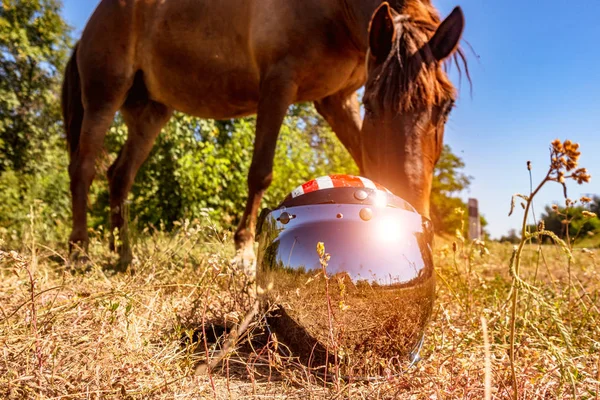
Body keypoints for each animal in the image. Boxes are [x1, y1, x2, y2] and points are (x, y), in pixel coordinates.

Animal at [59, 0, 464, 270]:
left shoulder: (336, 100)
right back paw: (80, 251)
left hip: (149, 113)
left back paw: (123, 254)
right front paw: (243, 251)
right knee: (83, 168)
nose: (418, 224)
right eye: (372, 103)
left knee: (119, 176)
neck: (333, 10)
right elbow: (260, 172)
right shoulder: (279, 83)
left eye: (447, 106)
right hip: (105, 94)